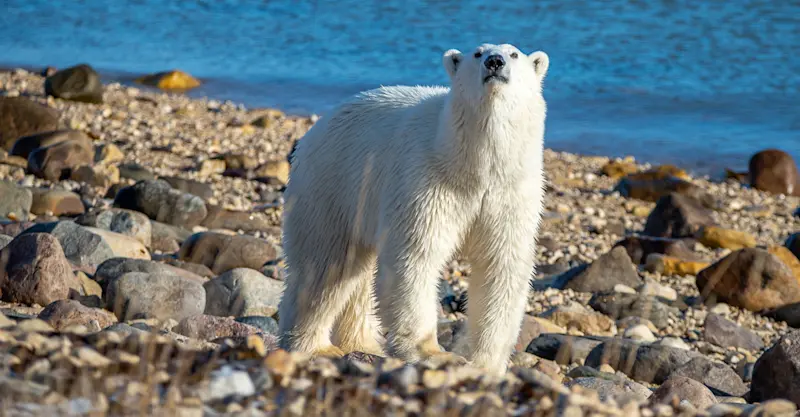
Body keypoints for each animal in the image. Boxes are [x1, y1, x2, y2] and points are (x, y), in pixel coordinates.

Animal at [278, 43, 549, 375]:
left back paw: (362, 343)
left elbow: (501, 265)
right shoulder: (426, 180)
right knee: (324, 267)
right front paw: (433, 353)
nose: (494, 62)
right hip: (331, 185)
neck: (474, 166)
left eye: (514, 54)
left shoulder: (509, 194)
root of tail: (317, 126)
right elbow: (416, 257)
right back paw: (315, 347)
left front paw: (484, 363)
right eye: (477, 53)